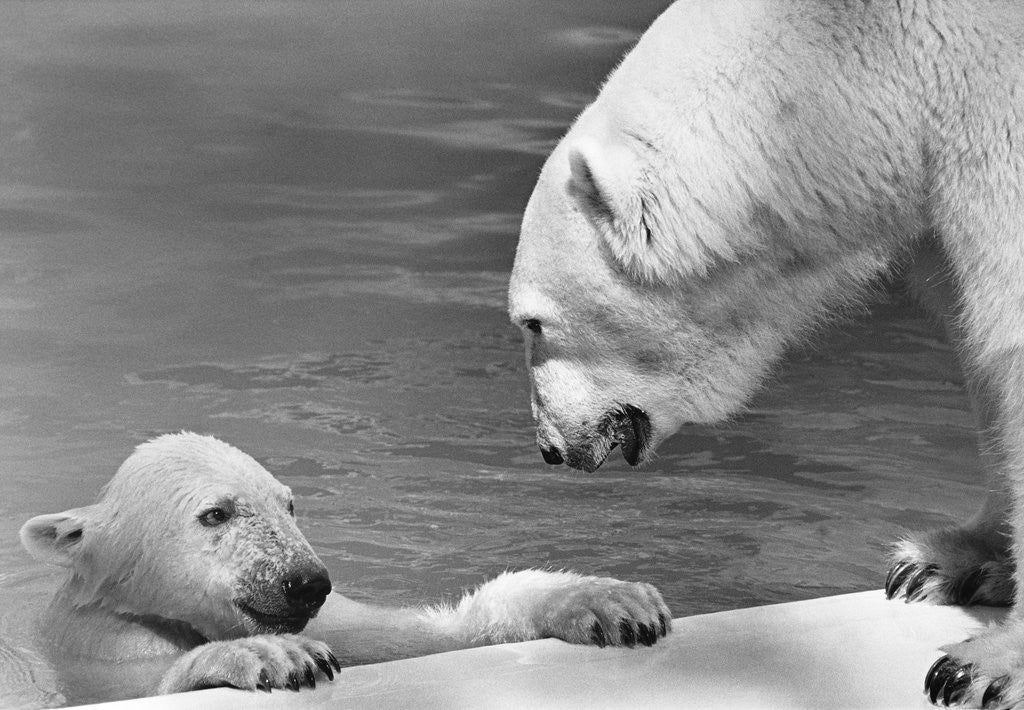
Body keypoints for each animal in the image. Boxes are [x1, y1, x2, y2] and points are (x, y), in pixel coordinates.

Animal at [20, 432, 671, 704]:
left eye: (288, 504)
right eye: (215, 514)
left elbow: (422, 635)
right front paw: (273, 656)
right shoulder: (107, 644)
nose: (307, 583)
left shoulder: (338, 617)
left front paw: (606, 600)